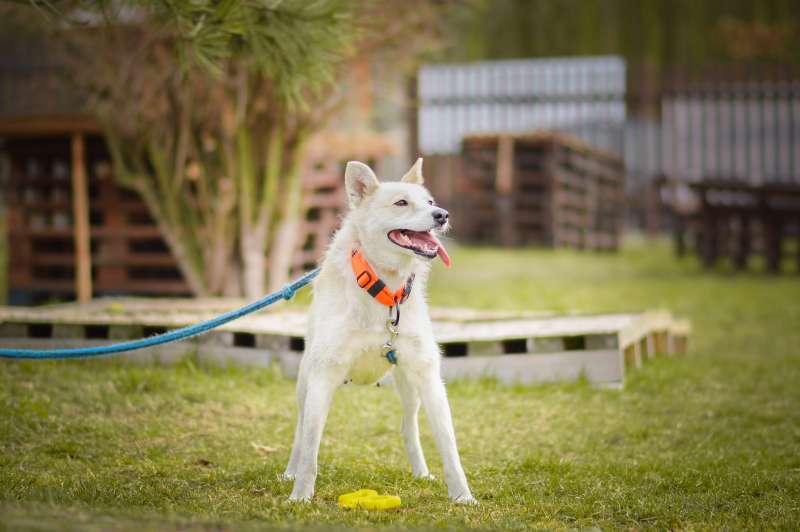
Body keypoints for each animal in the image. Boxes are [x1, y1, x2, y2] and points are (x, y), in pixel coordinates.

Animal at [282, 158, 476, 504]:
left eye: (429, 201)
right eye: (401, 203)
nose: (442, 214)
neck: (384, 289)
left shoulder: (428, 375)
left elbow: (449, 445)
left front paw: (462, 497)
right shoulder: (323, 375)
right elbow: (310, 450)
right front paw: (300, 496)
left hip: (409, 386)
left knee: (409, 428)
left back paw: (421, 472)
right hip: (306, 383)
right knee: (301, 431)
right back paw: (290, 472)